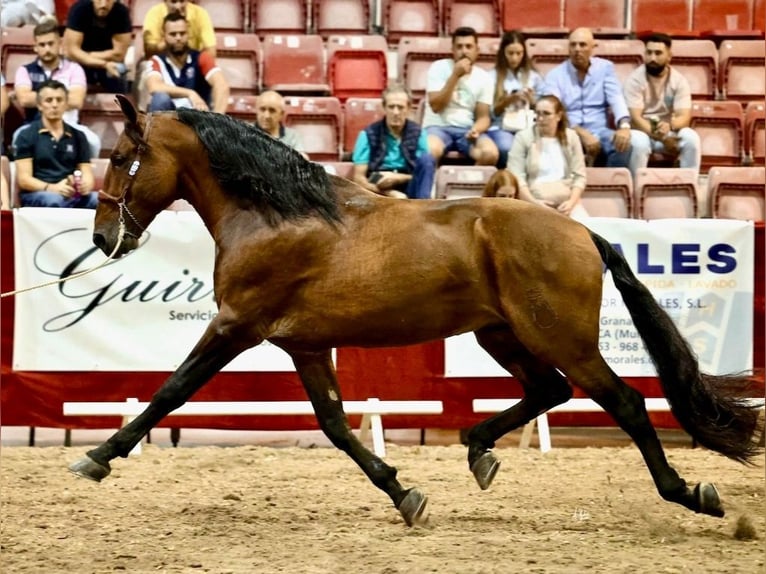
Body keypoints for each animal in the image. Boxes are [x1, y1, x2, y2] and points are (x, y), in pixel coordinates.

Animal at [70, 95, 760, 532]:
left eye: (120, 158)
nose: (104, 237)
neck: (276, 215)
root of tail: (582, 232)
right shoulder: (304, 346)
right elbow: (336, 425)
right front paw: (405, 494)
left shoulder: (235, 327)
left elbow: (171, 391)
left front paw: (98, 457)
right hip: (500, 336)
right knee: (550, 391)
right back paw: (479, 449)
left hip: (560, 339)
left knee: (625, 402)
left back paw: (690, 494)